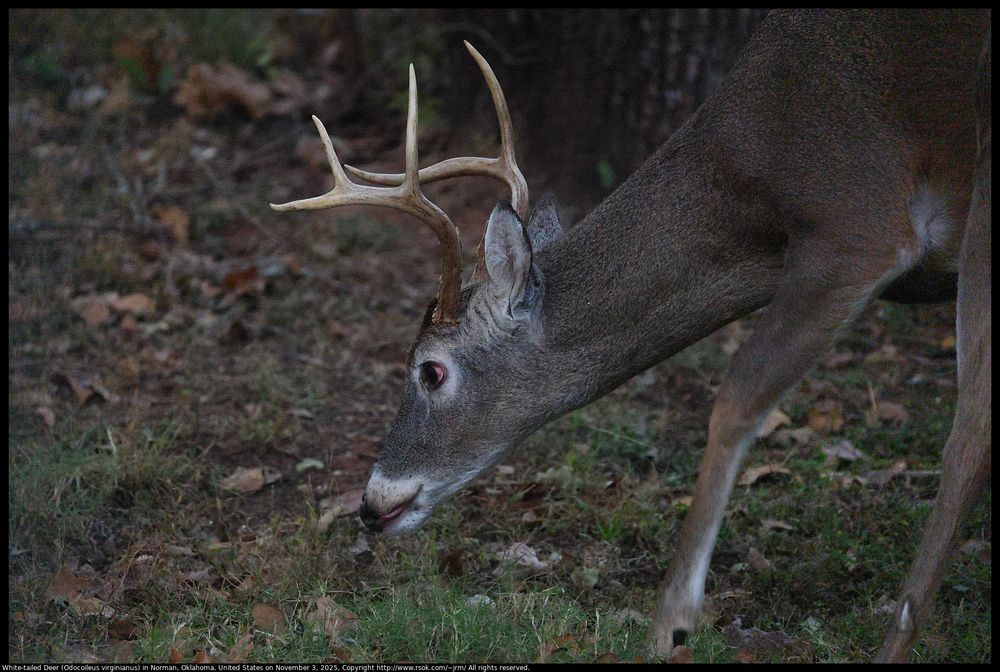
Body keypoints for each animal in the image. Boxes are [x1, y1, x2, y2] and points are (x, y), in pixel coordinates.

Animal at [270, 9, 991, 663]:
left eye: (431, 369)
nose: (370, 503)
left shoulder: (859, 227)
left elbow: (738, 399)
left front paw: (670, 624)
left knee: (966, 434)